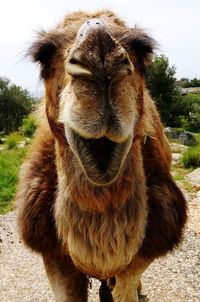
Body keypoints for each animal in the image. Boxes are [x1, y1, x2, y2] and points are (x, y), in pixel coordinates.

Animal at [14, 10, 187, 302]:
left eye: (142, 48)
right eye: (43, 54)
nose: (100, 55)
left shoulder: (142, 256)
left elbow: (126, 288)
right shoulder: (54, 258)